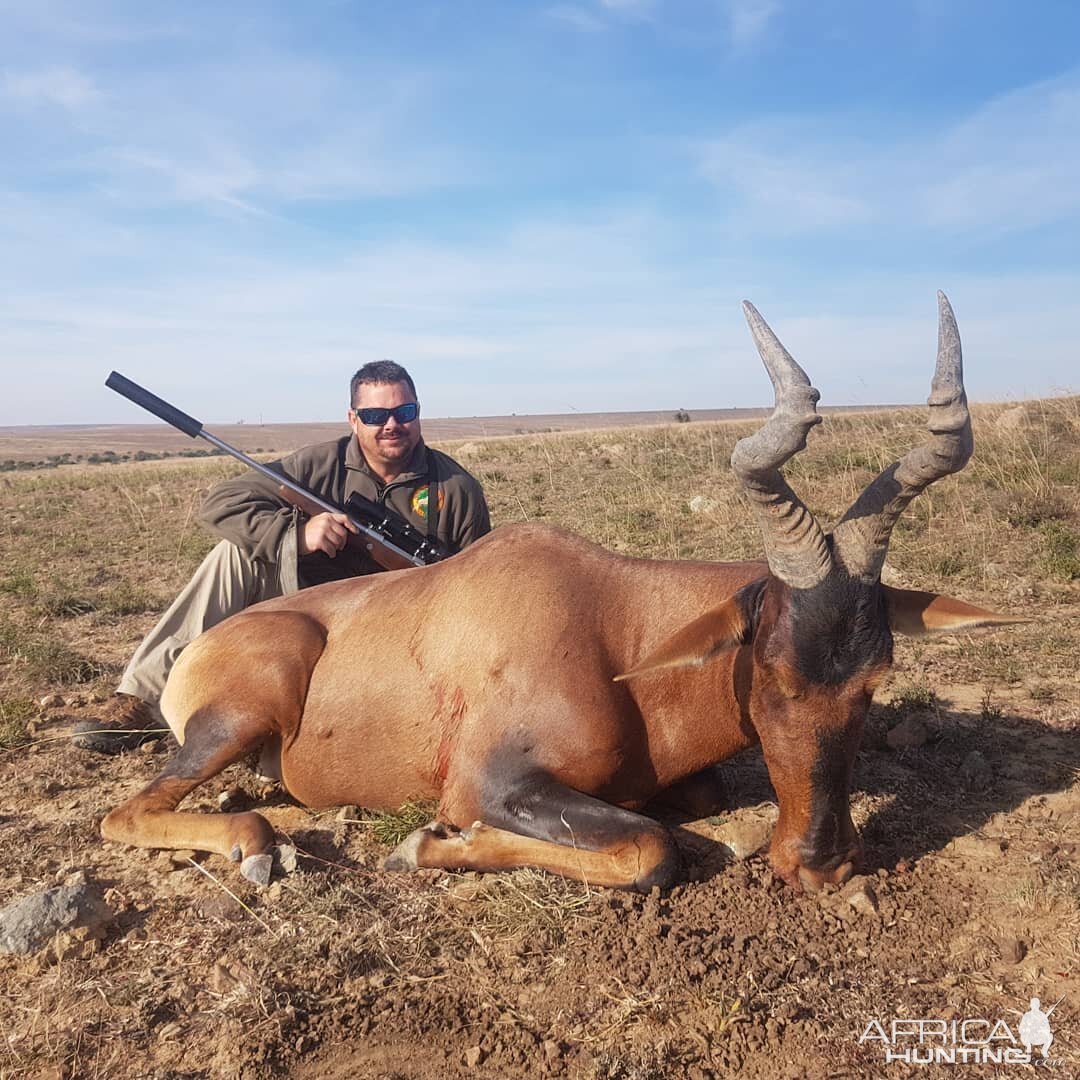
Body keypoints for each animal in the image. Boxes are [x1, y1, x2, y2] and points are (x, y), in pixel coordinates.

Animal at [101, 295, 1019, 894]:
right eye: (772, 674)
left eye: (875, 681)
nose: (822, 864)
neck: (610, 620)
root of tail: (200, 651)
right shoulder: (492, 782)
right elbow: (651, 851)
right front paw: (423, 847)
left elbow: (688, 806)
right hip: (248, 701)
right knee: (126, 812)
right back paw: (257, 845)